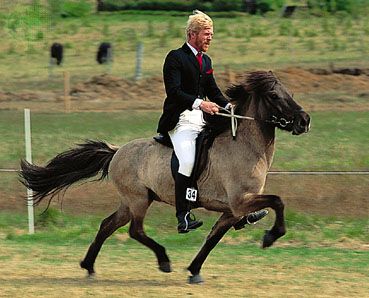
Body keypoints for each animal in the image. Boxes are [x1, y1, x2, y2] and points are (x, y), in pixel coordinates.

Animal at [19, 70, 308, 284]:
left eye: (290, 93)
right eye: (274, 95)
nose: (304, 121)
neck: (244, 146)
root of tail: (117, 151)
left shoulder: (232, 210)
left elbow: (213, 239)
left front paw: (194, 271)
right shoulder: (240, 202)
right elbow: (278, 201)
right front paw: (271, 236)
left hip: (131, 201)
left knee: (107, 225)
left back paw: (89, 267)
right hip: (138, 200)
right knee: (135, 230)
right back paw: (164, 260)